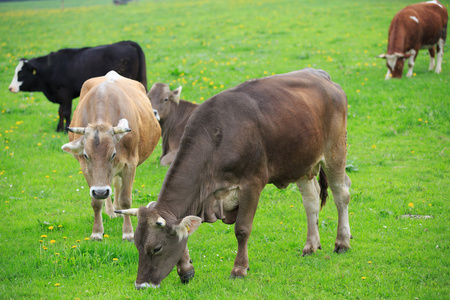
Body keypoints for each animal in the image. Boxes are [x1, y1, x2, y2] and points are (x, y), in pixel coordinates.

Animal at [7, 40, 147, 131]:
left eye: (21, 73)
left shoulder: (65, 94)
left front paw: (66, 129)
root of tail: (127, 42)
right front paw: (58, 129)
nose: (10, 88)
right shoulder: (60, 96)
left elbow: (66, 112)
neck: (51, 68)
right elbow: (60, 112)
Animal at [60, 71, 161, 241]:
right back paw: (110, 211)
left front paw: (128, 232)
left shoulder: (129, 165)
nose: (101, 191)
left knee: (116, 185)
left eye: (113, 154)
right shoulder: (86, 170)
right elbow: (95, 202)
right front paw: (97, 232)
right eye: (86, 155)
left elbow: (125, 200)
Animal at [116, 68, 352, 288]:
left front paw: (239, 269)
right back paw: (310, 245)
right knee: (311, 201)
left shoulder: (251, 184)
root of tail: (320, 74)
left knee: (342, 194)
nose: (141, 285)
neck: (216, 138)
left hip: (335, 151)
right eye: (137, 245)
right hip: (302, 162)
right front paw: (186, 269)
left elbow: (242, 229)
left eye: (156, 248)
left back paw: (342, 242)